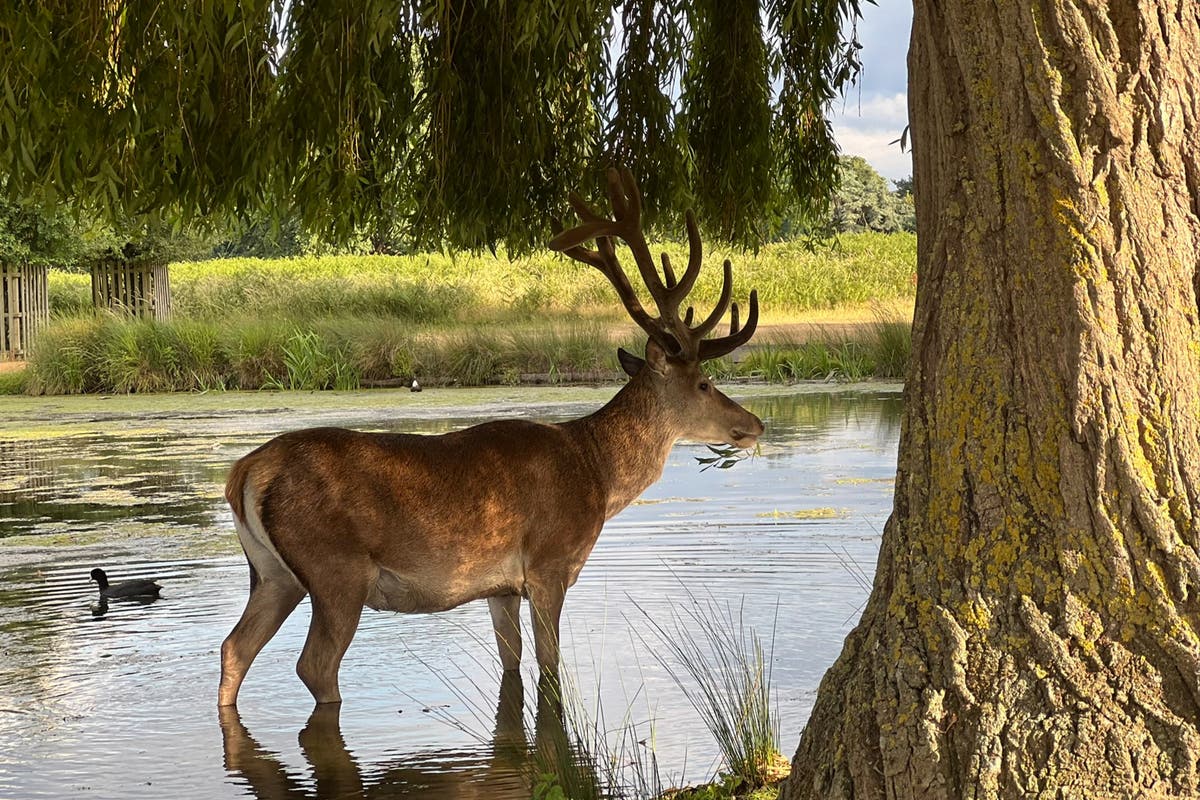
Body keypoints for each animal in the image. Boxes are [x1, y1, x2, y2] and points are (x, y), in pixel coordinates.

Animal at [217, 167, 763, 708]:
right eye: (704, 383)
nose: (755, 424)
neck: (595, 473)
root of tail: (244, 473)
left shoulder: (500, 587)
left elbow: (512, 665)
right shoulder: (549, 563)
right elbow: (550, 667)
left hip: (272, 575)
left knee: (233, 648)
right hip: (336, 569)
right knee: (314, 664)